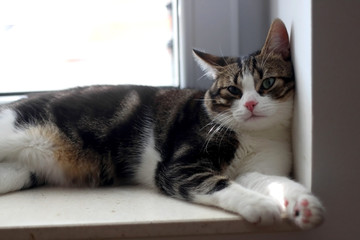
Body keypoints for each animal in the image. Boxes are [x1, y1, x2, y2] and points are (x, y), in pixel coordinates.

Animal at [0, 18, 324, 229]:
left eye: (267, 83)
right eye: (233, 90)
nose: (251, 104)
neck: (254, 136)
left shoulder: (256, 169)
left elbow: (274, 182)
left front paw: (303, 204)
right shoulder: (178, 166)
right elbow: (220, 184)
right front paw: (260, 206)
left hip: (20, 171)